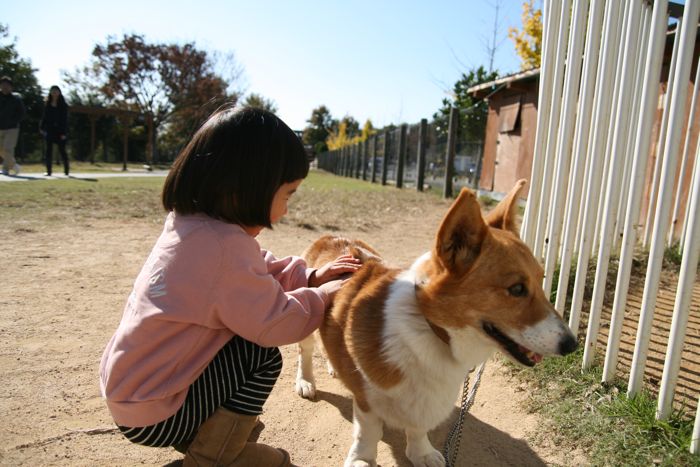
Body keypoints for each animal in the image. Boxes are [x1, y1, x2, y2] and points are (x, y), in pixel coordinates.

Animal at [294, 180, 576, 467]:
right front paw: (362, 460)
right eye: (517, 288)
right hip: (307, 319)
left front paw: (422, 454)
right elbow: (368, 432)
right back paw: (306, 382)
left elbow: (418, 429)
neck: (431, 328)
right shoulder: (366, 401)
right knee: (306, 352)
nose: (572, 345)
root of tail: (331, 237)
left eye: (542, 280)